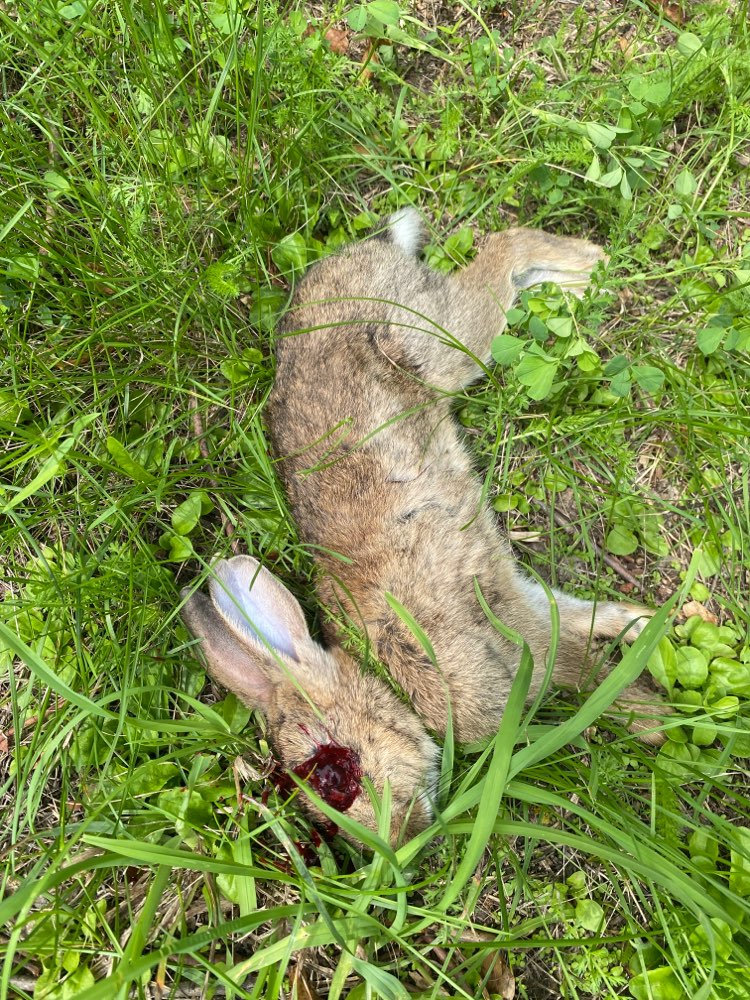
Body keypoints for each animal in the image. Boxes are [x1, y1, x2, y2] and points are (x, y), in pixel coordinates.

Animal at [181, 209, 666, 847]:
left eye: (338, 772)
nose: (402, 842)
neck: (389, 680)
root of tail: (350, 259)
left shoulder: (513, 648)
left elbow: (589, 675)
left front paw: (659, 722)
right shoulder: (524, 604)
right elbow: (582, 616)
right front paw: (642, 622)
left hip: (442, 340)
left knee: (504, 250)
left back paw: (590, 265)